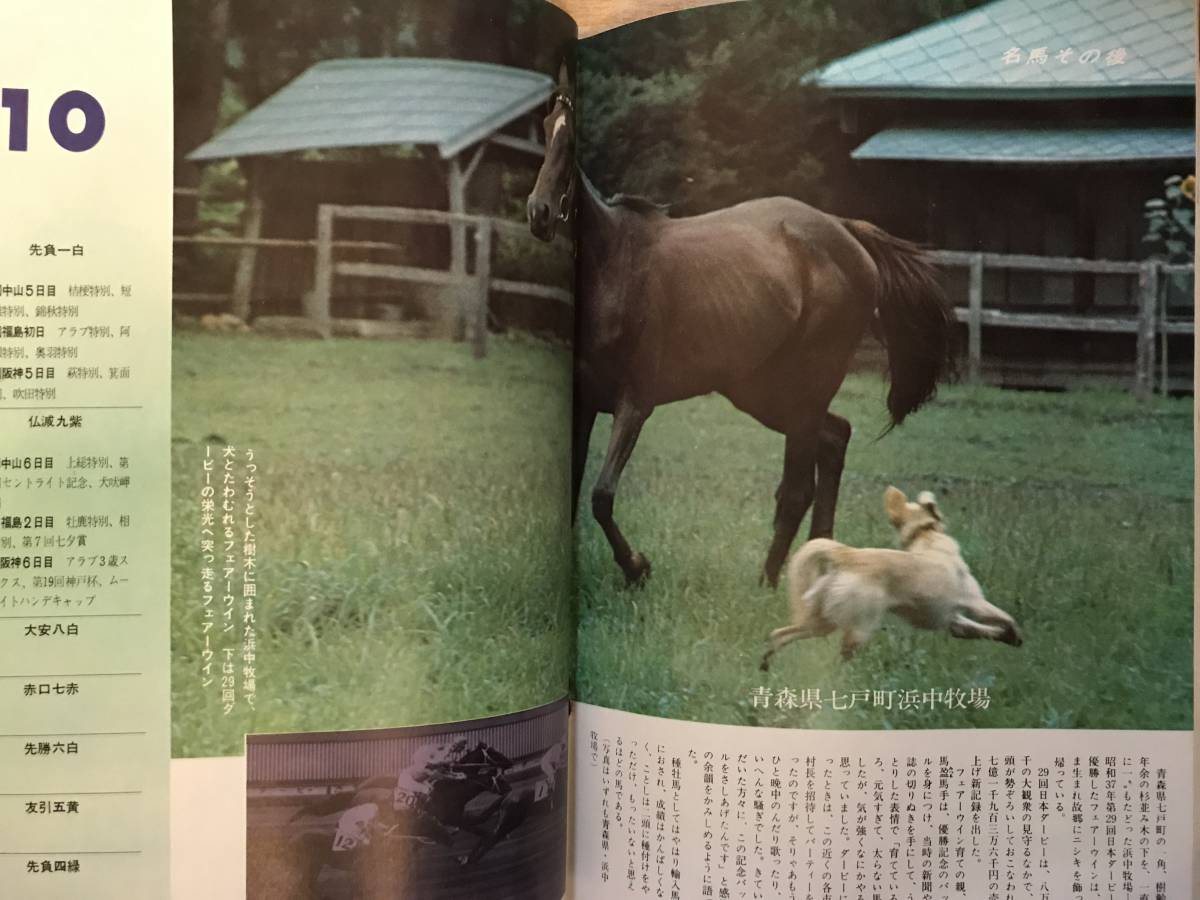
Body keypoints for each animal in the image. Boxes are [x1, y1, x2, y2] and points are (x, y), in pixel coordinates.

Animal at [528, 82, 955, 592]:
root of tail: (847, 231)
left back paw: (775, 580)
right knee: (835, 439)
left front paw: (637, 568)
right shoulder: (587, 404)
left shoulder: (634, 403)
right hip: (765, 393)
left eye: (571, 143)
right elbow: (576, 487)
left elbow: (601, 494)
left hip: (804, 389)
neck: (616, 265)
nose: (539, 212)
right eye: (544, 130)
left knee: (798, 486)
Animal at [758, 487, 1022, 672]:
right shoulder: (974, 602)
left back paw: (765, 666)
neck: (925, 535)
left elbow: (980, 630)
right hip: (858, 629)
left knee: (778, 635)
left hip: (822, 621)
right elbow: (1007, 619)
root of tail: (847, 555)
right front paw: (1015, 635)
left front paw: (1007, 638)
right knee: (837, 662)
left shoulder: (953, 619)